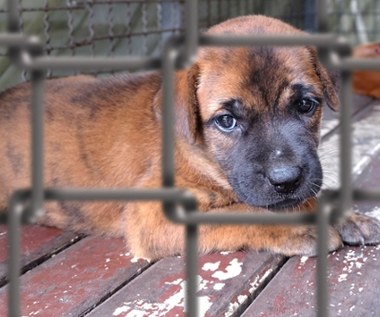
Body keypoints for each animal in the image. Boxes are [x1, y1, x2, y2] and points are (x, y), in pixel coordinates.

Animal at [0, 15, 380, 260]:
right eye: (226, 121)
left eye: (305, 105)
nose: (286, 180)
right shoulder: (153, 214)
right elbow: (242, 211)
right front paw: (299, 226)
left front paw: (349, 217)